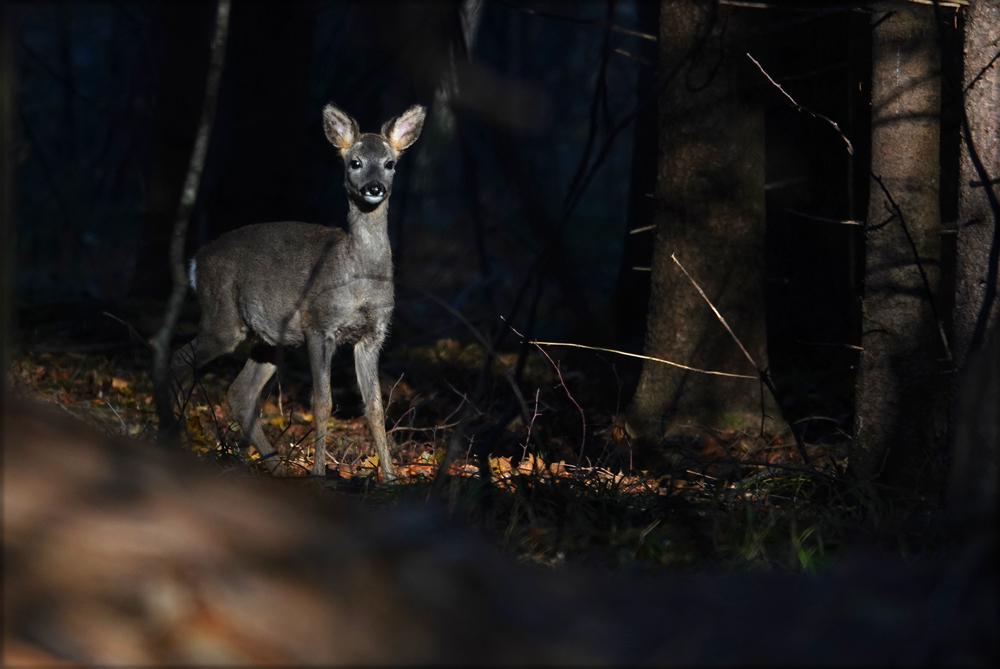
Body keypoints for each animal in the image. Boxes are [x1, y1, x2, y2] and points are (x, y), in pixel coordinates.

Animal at [174, 103, 424, 480]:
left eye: (390, 163)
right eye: (355, 162)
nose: (375, 187)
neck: (358, 277)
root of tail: (196, 260)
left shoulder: (372, 335)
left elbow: (376, 408)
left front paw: (392, 479)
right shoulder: (318, 325)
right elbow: (322, 404)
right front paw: (320, 474)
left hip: (269, 338)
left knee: (239, 393)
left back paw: (278, 467)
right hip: (222, 319)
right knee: (178, 362)